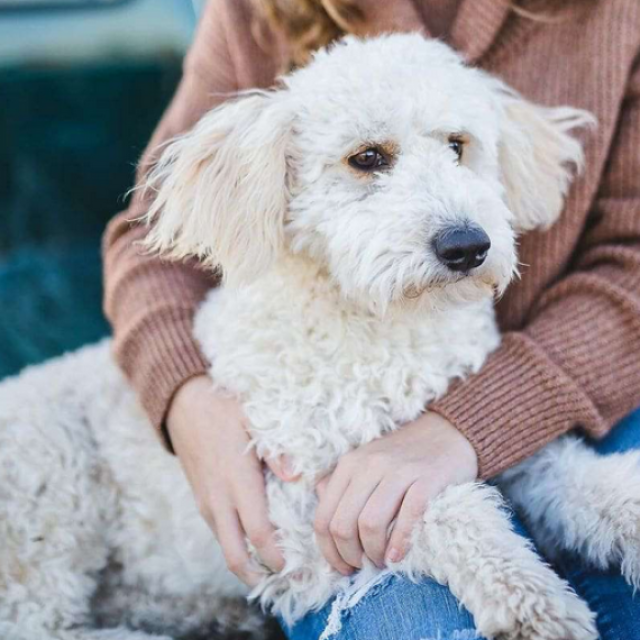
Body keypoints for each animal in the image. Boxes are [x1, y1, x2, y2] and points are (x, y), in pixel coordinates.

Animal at [2, 33, 636, 640]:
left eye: (458, 145)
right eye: (368, 158)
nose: (467, 245)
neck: (383, 327)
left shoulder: (507, 450)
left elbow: (587, 483)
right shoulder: (300, 522)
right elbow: (442, 510)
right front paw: (525, 595)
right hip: (48, 479)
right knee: (38, 623)